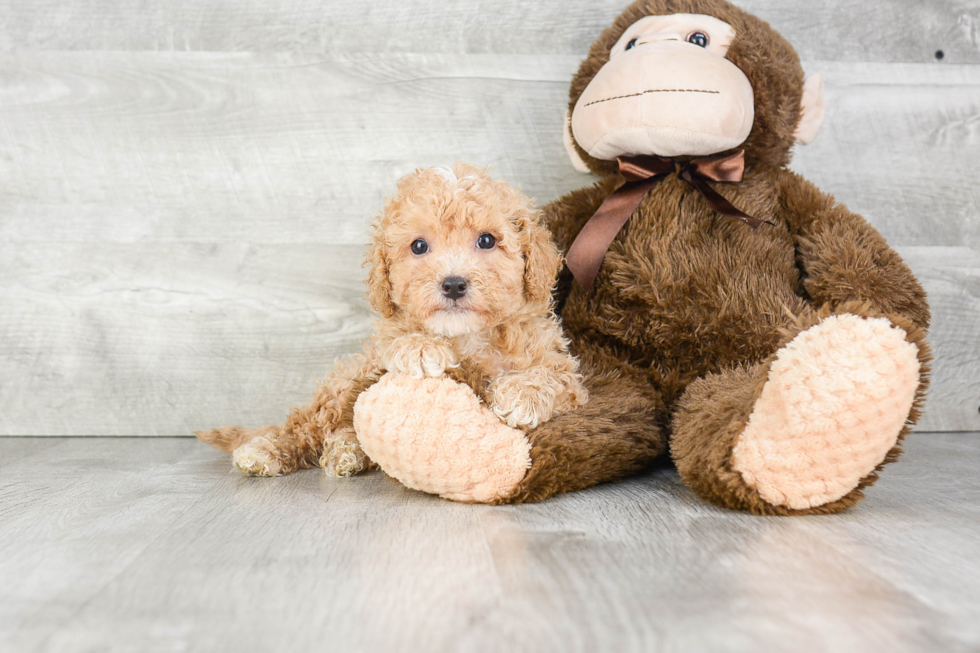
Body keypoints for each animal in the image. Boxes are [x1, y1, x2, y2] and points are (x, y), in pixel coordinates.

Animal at [195, 162, 584, 478]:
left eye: (487, 240)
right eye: (419, 246)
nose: (453, 284)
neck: (466, 335)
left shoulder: (564, 372)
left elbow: (553, 377)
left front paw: (522, 394)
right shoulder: (383, 345)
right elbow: (399, 337)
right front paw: (421, 347)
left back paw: (347, 452)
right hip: (345, 381)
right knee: (307, 425)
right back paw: (266, 450)